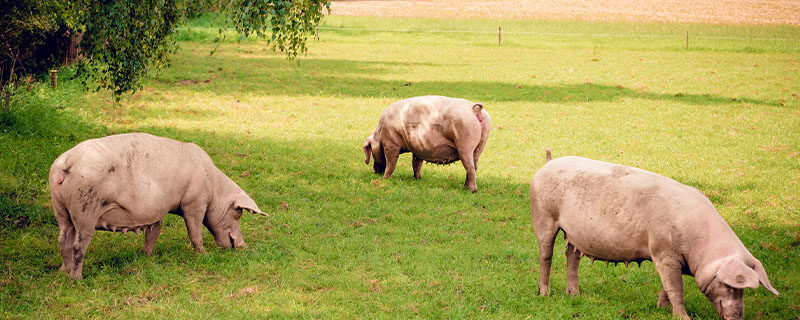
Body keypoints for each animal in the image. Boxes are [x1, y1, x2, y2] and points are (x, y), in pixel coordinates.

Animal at [50, 131, 266, 278]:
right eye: (238, 213)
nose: (242, 246)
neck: (213, 187)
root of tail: (67, 161)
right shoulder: (194, 203)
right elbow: (194, 233)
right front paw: (203, 256)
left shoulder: (157, 211)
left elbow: (153, 233)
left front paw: (145, 256)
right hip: (85, 209)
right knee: (78, 245)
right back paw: (76, 279)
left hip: (60, 209)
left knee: (63, 240)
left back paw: (63, 272)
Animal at [360, 95, 488, 191]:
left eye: (371, 150)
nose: (375, 171)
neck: (379, 134)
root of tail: (474, 109)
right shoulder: (416, 148)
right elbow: (416, 163)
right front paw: (417, 179)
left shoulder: (391, 143)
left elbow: (391, 162)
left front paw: (385, 179)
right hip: (481, 145)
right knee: (474, 166)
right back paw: (465, 187)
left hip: (465, 144)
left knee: (470, 167)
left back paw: (471, 190)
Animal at [528, 149, 780, 318]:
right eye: (732, 284)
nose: (737, 316)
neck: (698, 248)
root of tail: (548, 163)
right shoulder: (664, 251)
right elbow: (676, 288)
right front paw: (683, 317)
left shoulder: (668, 259)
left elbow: (667, 286)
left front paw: (662, 309)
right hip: (544, 216)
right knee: (546, 255)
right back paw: (545, 293)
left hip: (574, 234)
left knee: (571, 256)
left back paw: (575, 295)